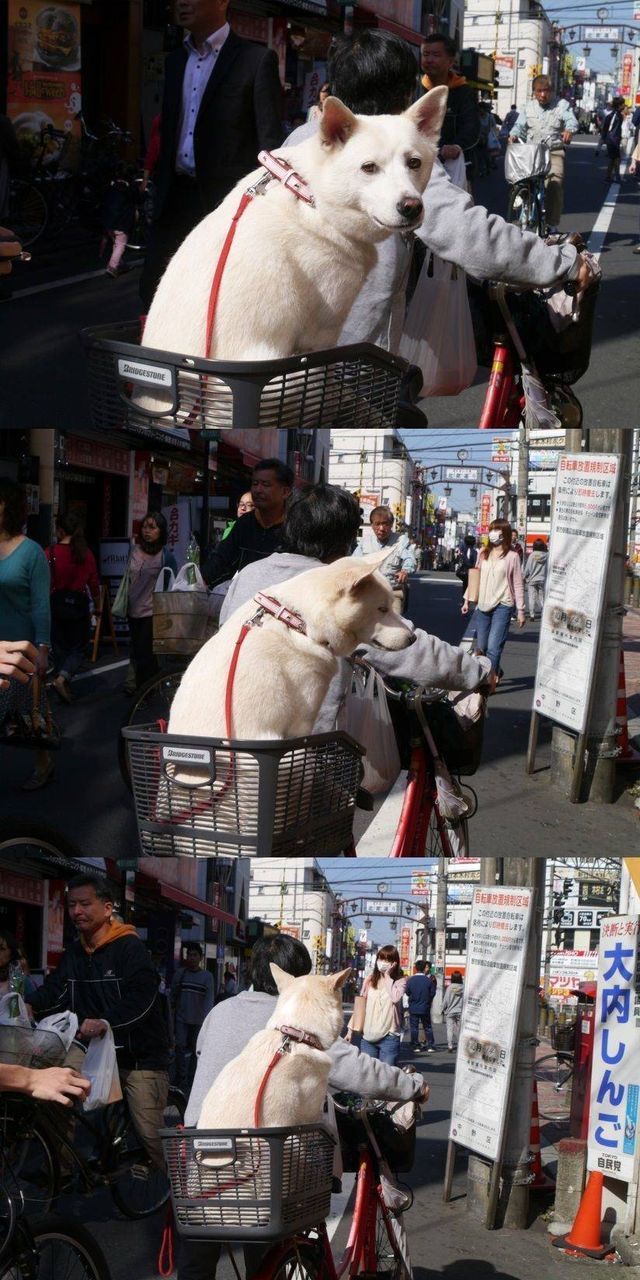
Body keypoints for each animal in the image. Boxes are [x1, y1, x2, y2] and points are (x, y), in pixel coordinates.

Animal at [138, 89, 447, 417]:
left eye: (414, 163)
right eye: (369, 168)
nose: (411, 207)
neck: (309, 193)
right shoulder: (322, 334)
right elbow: (329, 374)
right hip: (289, 379)